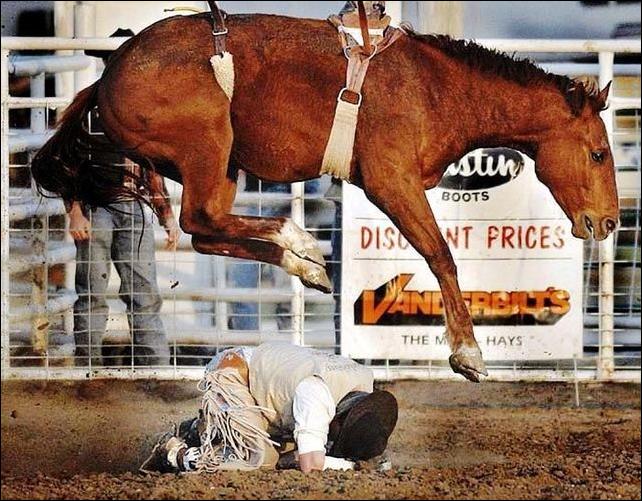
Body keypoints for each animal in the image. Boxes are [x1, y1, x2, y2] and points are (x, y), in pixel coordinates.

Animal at [31, 13, 619, 382]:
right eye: (597, 153)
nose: (610, 222)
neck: (437, 89)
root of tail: (108, 74)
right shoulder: (390, 180)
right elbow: (440, 255)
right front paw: (469, 356)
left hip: (224, 163)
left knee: (207, 229)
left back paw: (307, 260)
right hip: (207, 145)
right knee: (202, 220)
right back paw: (303, 247)